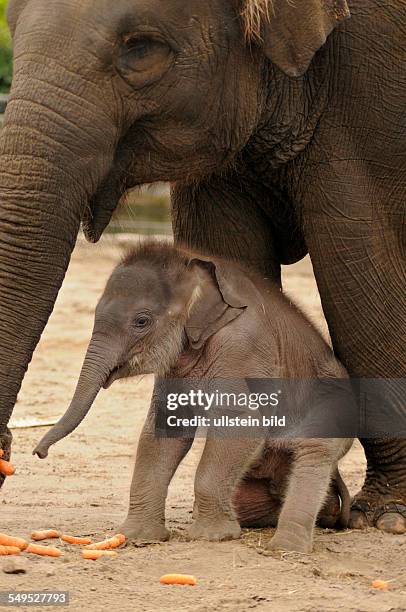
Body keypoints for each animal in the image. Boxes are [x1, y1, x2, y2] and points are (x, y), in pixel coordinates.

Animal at [34, 240, 352, 556]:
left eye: (141, 321)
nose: (39, 453)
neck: (195, 265)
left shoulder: (241, 347)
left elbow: (242, 423)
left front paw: (213, 537)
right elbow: (164, 428)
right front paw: (137, 536)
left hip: (334, 406)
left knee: (315, 451)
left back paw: (286, 548)